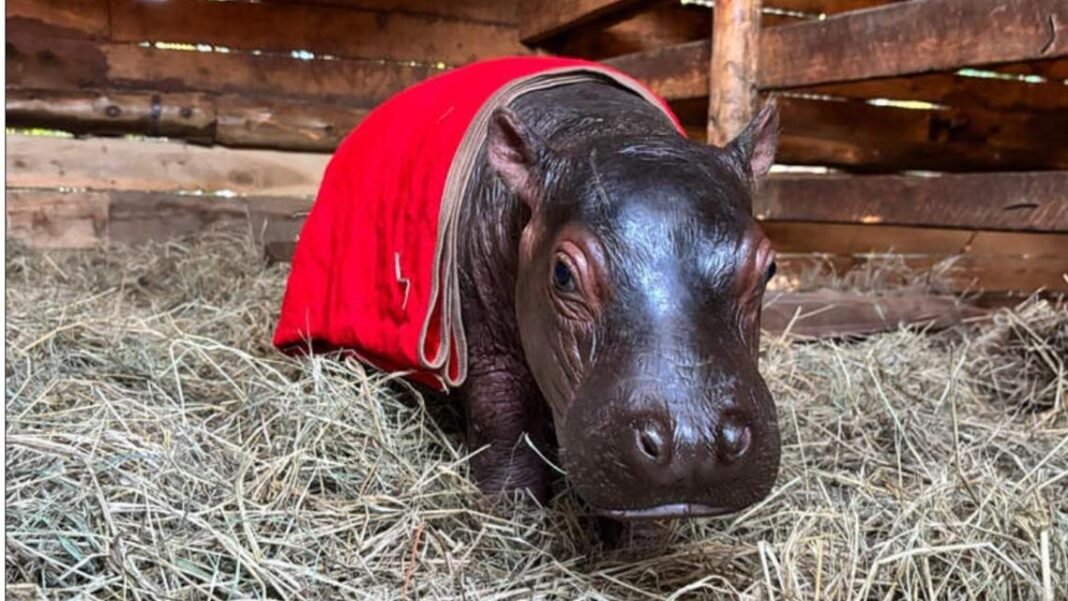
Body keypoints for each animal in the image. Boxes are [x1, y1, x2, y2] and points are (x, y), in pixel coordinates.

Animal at [275, 57, 781, 522]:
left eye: (770, 267)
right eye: (562, 274)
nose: (694, 442)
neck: (605, 128)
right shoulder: (485, 342)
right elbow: (502, 414)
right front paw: (511, 513)